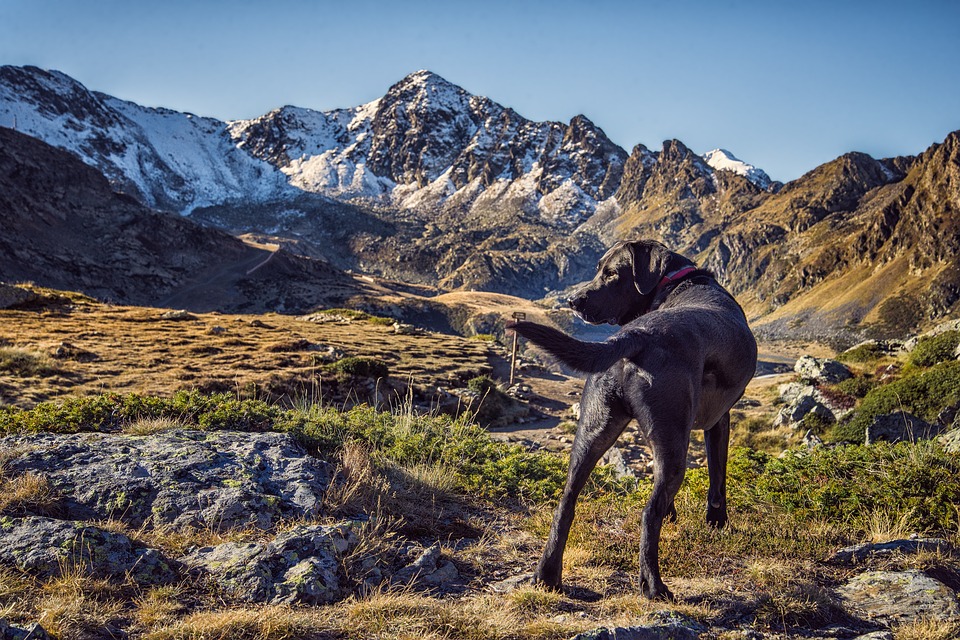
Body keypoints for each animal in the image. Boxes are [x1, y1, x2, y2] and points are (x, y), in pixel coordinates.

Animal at [510, 238, 756, 596]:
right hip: (674, 441)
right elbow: (717, 477)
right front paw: (717, 523)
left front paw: (676, 515)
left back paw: (547, 575)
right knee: (648, 513)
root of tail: (635, 335)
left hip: (594, 431)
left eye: (610, 273)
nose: (573, 301)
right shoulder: (719, 420)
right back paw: (653, 585)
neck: (677, 281)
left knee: (566, 501)